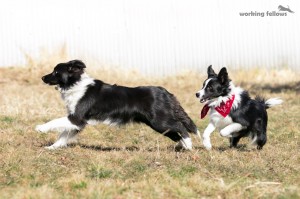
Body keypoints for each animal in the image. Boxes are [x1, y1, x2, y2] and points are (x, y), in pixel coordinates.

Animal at [35, 59, 199, 150]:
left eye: (56, 72)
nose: (42, 77)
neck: (75, 84)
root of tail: (166, 92)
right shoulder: (77, 123)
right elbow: (63, 135)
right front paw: (52, 148)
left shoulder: (77, 118)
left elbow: (55, 122)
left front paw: (41, 128)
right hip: (157, 124)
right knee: (176, 134)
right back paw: (183, 147)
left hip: (159, 121)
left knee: (181, 127)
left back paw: (189, 145)